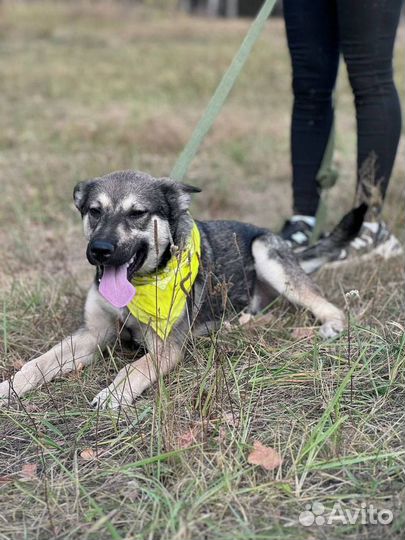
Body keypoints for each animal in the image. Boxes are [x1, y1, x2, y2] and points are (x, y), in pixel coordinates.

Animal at [0, 171, 366, 408]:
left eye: (137, 213)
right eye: (94, 211)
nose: (99, 250)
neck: (139, 285)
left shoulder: (165, 347)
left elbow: (134, 367)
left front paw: (115, 393)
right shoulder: (92, 333)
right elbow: (39, 362)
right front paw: (10, 387)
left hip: (267, 255)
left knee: (325, 303)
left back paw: (332, 326)